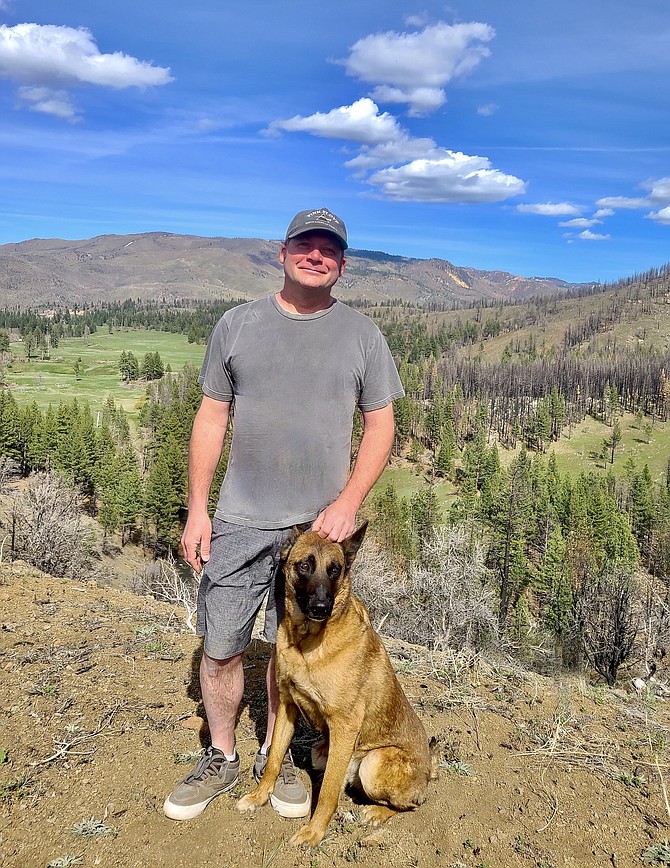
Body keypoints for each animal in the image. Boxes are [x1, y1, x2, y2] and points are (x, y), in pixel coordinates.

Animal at [239, 524, 438, 848]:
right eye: (304, 565)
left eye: (335, 569)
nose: (322, 607)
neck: (307, 642)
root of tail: (428, 770)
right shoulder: (287, 707)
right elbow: (274, 760)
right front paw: (258, 797)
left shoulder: (345, 726)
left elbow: (329, 792)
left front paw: (313, 832)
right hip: (324, 753)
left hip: (373, 762)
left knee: (411, 804)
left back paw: (377, 813)